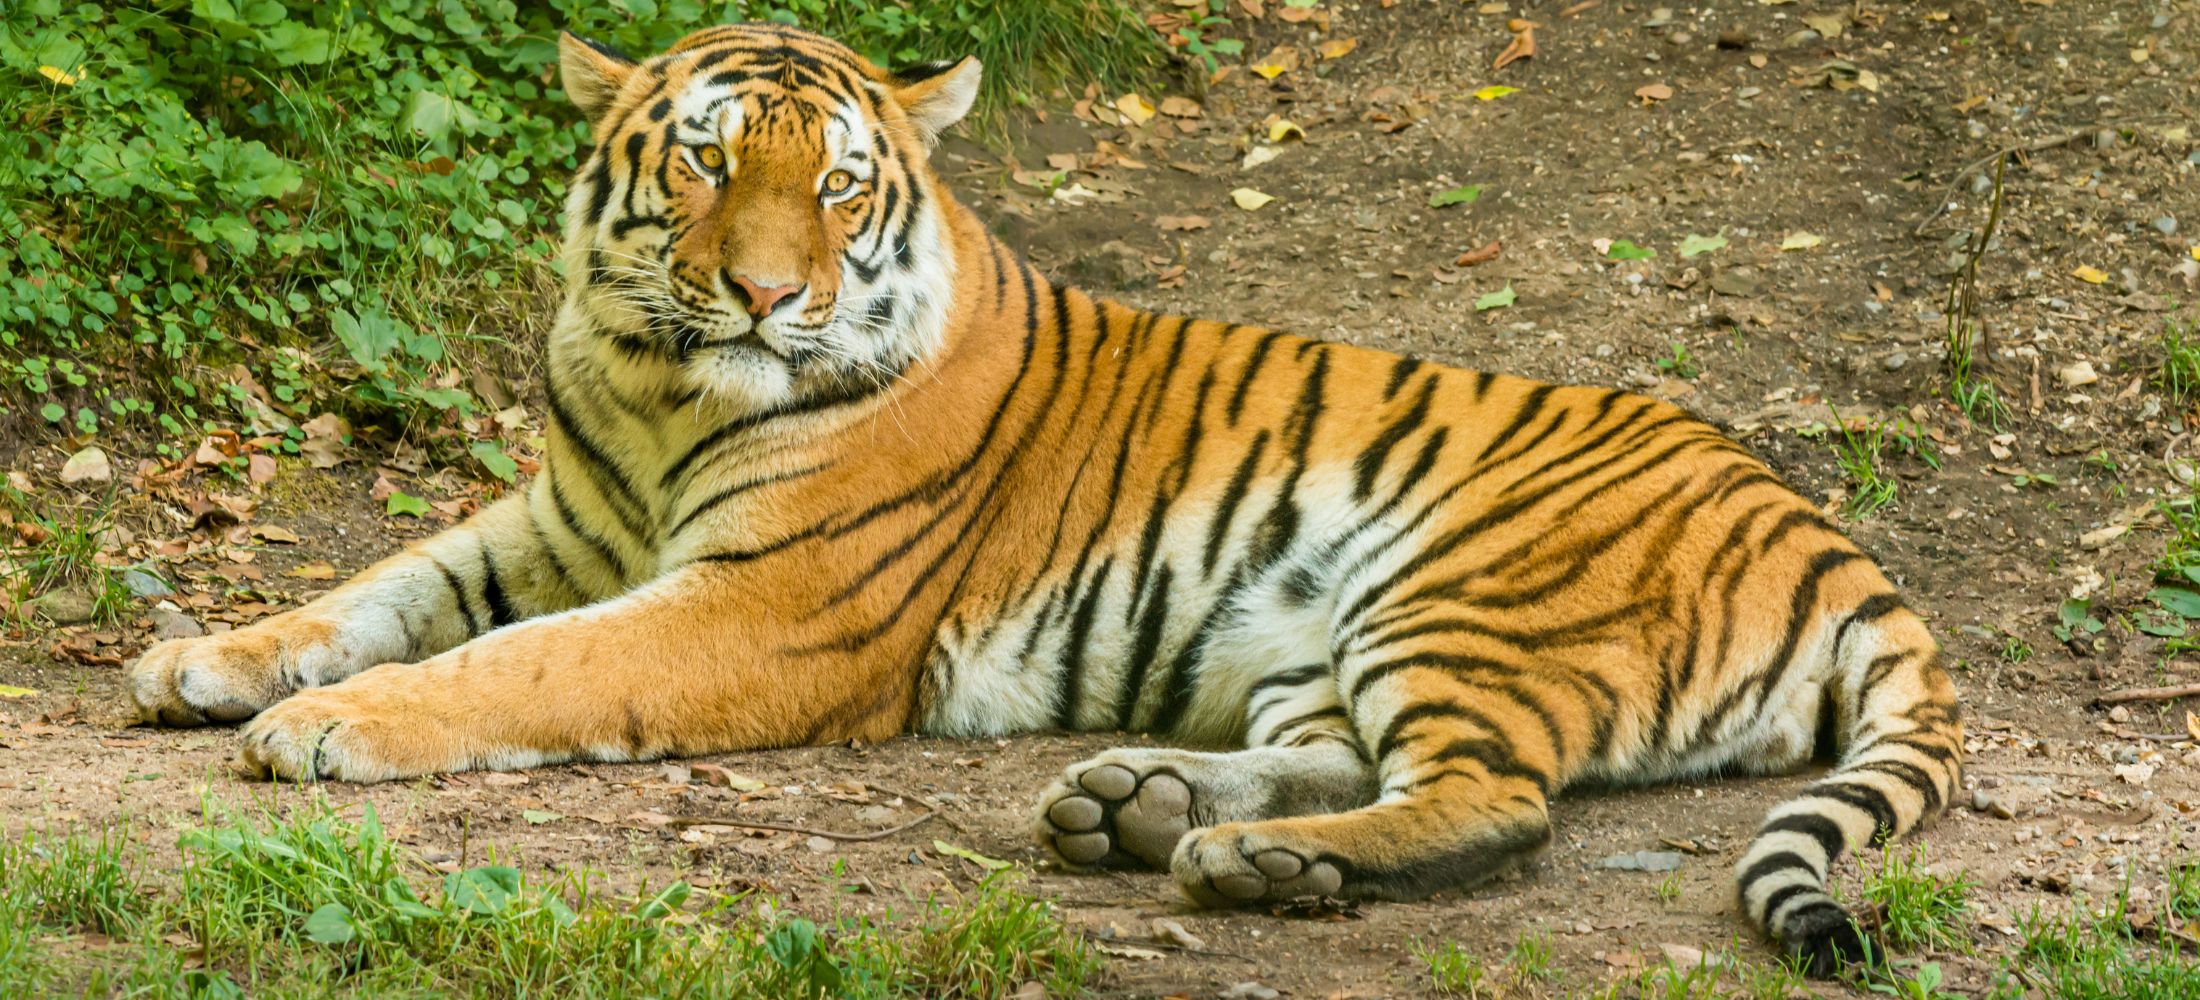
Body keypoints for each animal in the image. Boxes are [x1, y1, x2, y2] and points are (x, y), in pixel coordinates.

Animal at [125, 23, 1962, 974]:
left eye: (837, 184)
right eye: (707, 161)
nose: (768, 297)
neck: (658, 386)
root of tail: (1827, 535)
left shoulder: (760, 608)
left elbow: (519, 665)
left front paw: (325, 729)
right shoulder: (560, 524)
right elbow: (385, 590)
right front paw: (204, 659)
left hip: (1460, 587)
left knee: (1498, 802)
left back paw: (1234, 867)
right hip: (1317, 635)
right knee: (1349, 759)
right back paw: (1145, 811)